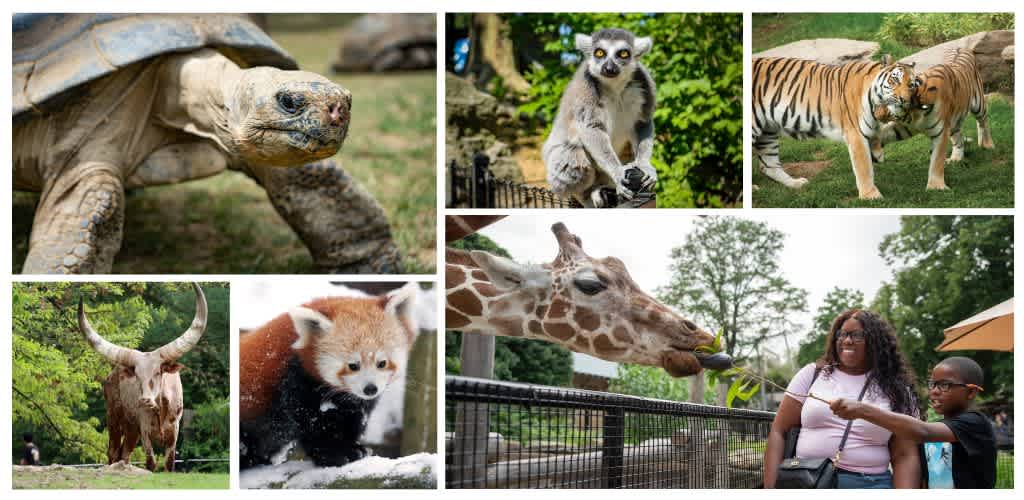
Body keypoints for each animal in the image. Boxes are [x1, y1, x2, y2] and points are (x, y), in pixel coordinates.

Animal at [239, 283, 418, 468]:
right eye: (353, 366)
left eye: (382, 363)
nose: (370, 389)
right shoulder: (294, 381)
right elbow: (312, 424)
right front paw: (335, 453)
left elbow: (352, 419)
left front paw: (353, 446)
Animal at [752, 57, 920, 199]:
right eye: (894, 80)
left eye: (911, 85)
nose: (904, 100)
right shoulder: (856, 134)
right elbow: (864, 167)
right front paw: (870, 195)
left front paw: (877, 153)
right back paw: (754, 189)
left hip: (767, 131)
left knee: (768, 165)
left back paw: (796, 183)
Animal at [873, 49, 994, 191]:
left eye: (889, 103)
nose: (876, 113)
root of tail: (962, 49)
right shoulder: (906, 127)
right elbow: (885, 133)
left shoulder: (940, 133)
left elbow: (937, 161)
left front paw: (936, 187)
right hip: (953, 123)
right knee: (958, 139)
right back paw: (956, 158)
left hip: (978, 104)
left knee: (983, 121)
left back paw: (987, 144)